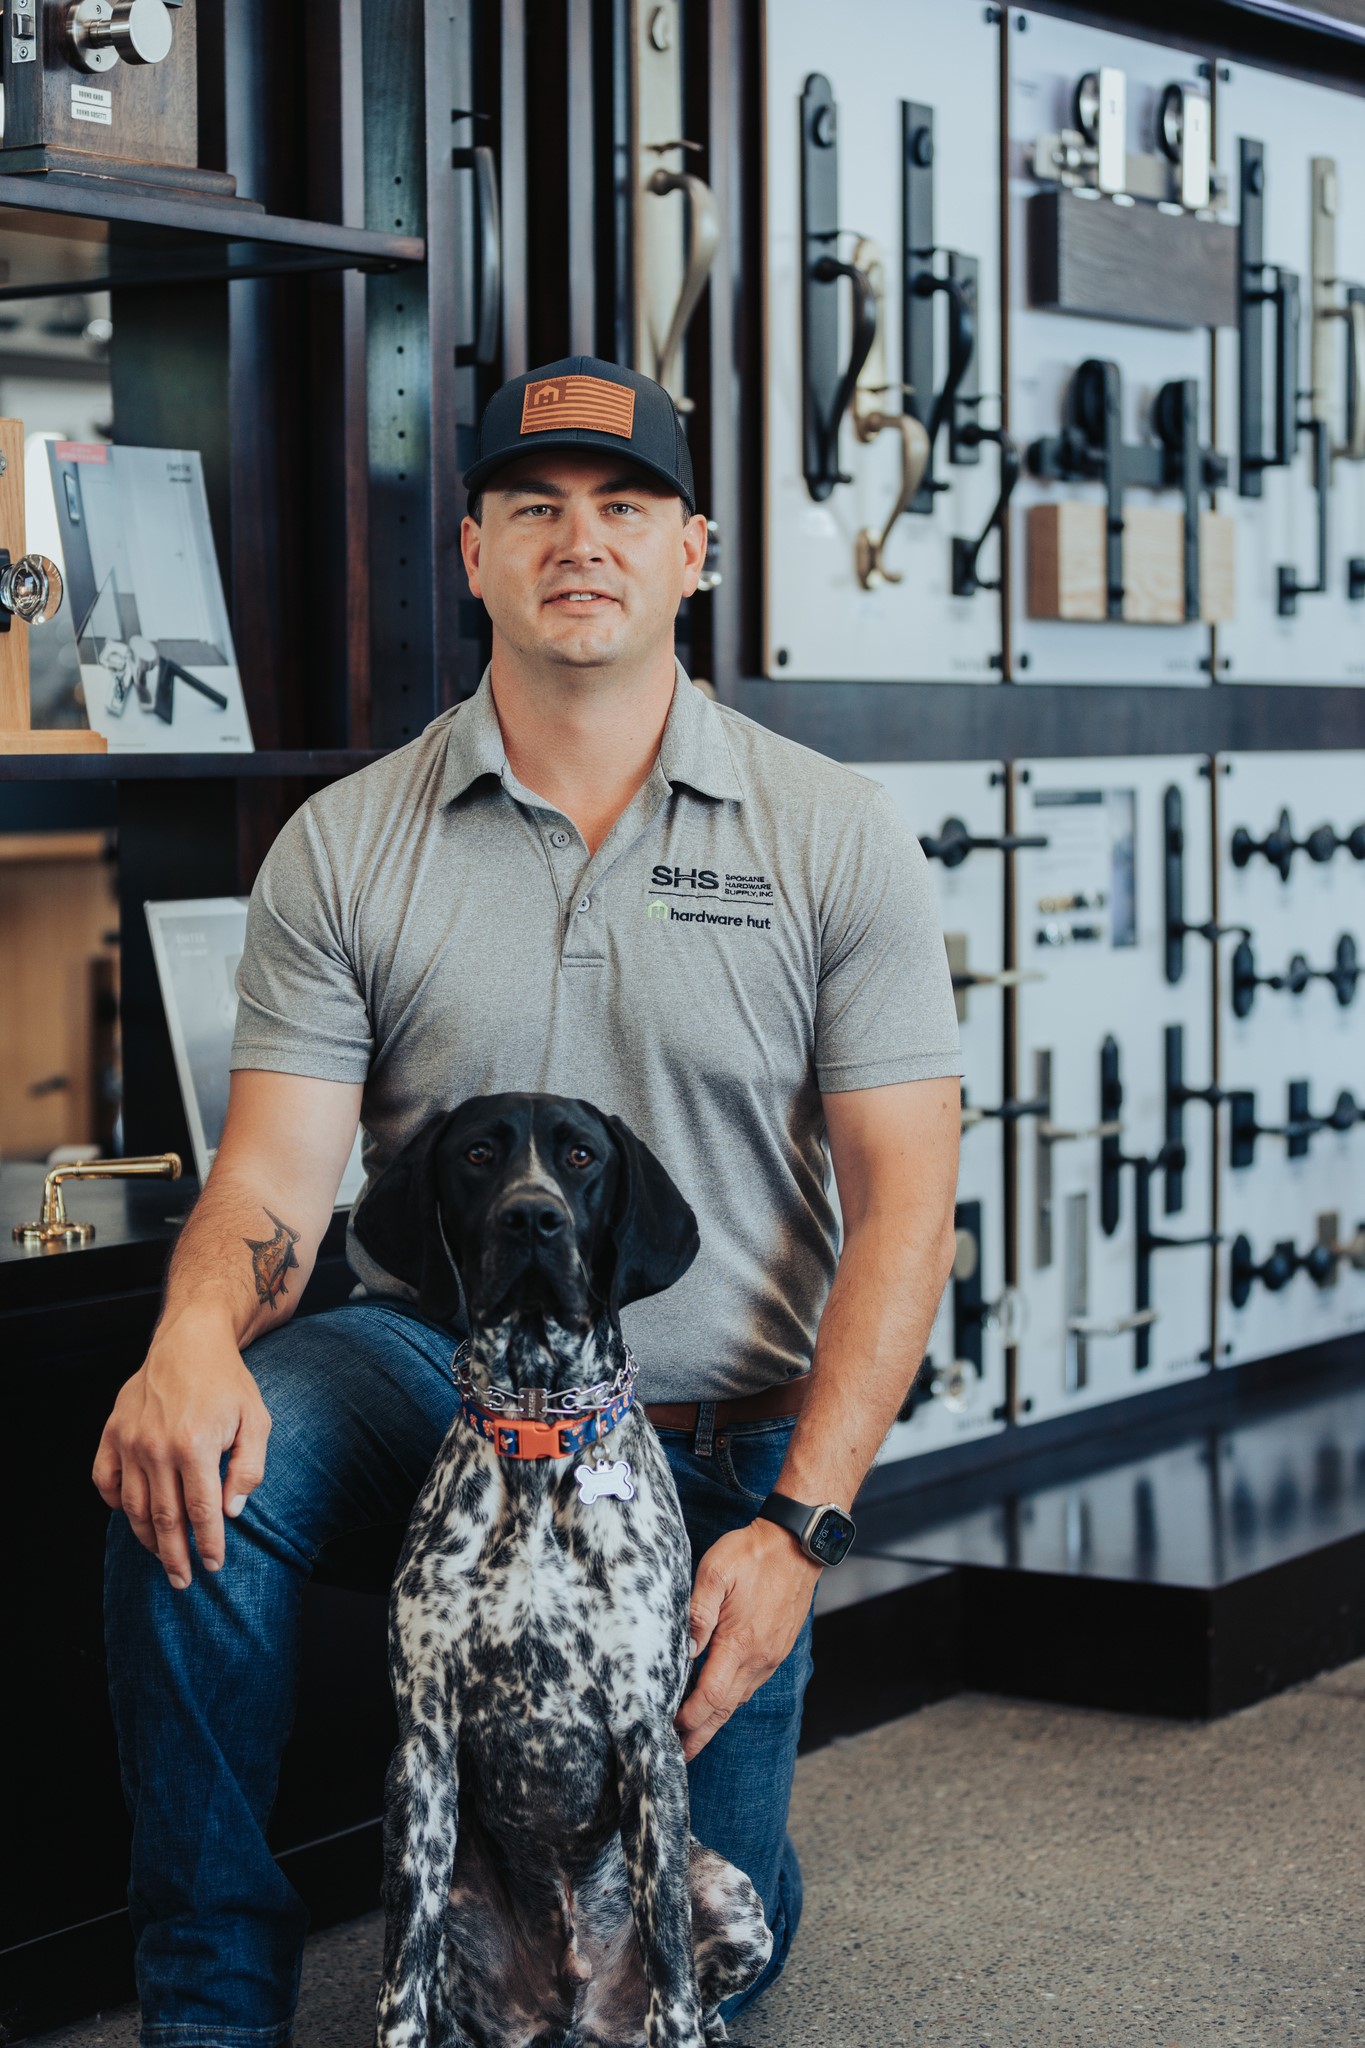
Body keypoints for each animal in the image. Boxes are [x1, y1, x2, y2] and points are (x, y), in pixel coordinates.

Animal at [351, 1097, 773, 2039]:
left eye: (580, 1157)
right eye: (477, 1154)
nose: (532, 1218)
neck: (540, 1428)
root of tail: (572, 2005)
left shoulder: (646, 1738)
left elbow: (672, 1975)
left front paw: (681, 2021)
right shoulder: (423, 1744)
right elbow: (401, 1980)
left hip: (732, 1894)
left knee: (694, 1978)